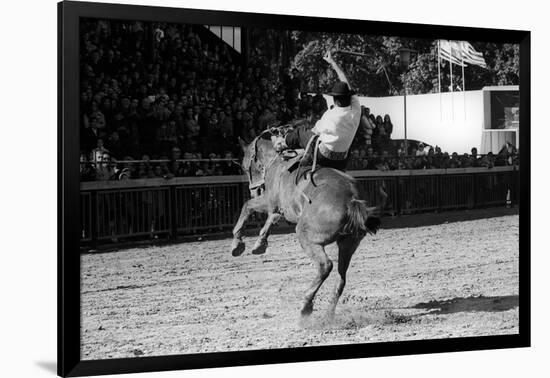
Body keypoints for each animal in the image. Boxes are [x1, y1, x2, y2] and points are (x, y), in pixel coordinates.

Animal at [233, 126, 388, 318]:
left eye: (245, 166)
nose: (253, 190)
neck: (277, 163)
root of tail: (351, 200)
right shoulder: (278, 208)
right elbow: (272, 218)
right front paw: (259, 243)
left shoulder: (269, 201)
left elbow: (247, 206)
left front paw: (237, 244)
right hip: (349, 243)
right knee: (341, 277)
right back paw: (328, 314)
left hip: (307, 236)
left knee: (325, 266)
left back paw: (306, 304)